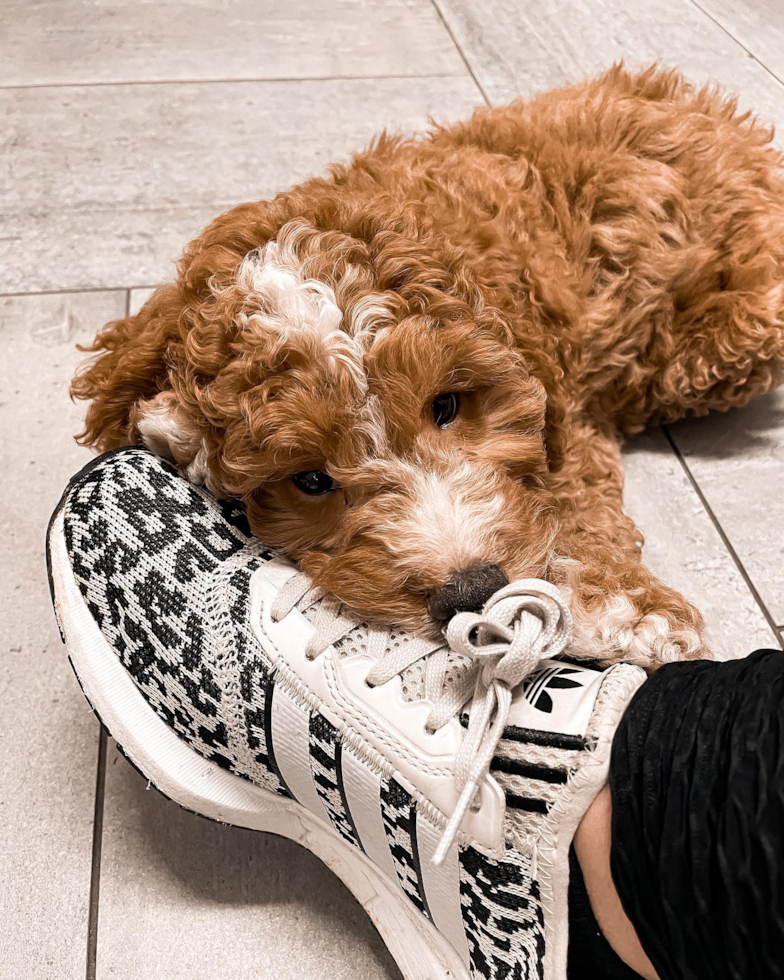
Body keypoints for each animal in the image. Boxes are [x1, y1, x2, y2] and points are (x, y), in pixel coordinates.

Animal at [70, 67, 784, 668]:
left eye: (446, 406)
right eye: (310, 479)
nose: (473, 592)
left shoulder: (563, 411)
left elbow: (573, 491)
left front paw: (629, 610)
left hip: (734, 336)